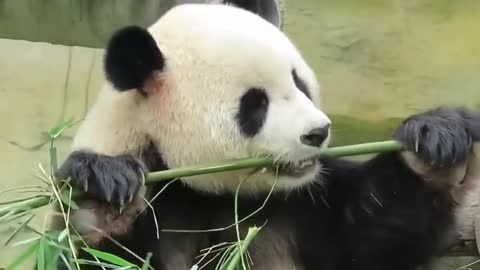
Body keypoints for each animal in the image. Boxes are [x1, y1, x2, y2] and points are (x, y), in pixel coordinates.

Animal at [51, 2, 480, 270]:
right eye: (255, 104)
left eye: (299, 83)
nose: (318, 133)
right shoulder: (162, 197)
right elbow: (107, 255)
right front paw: (103, 194)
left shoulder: (304, 204)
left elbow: (374, 241)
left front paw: (435, 142)